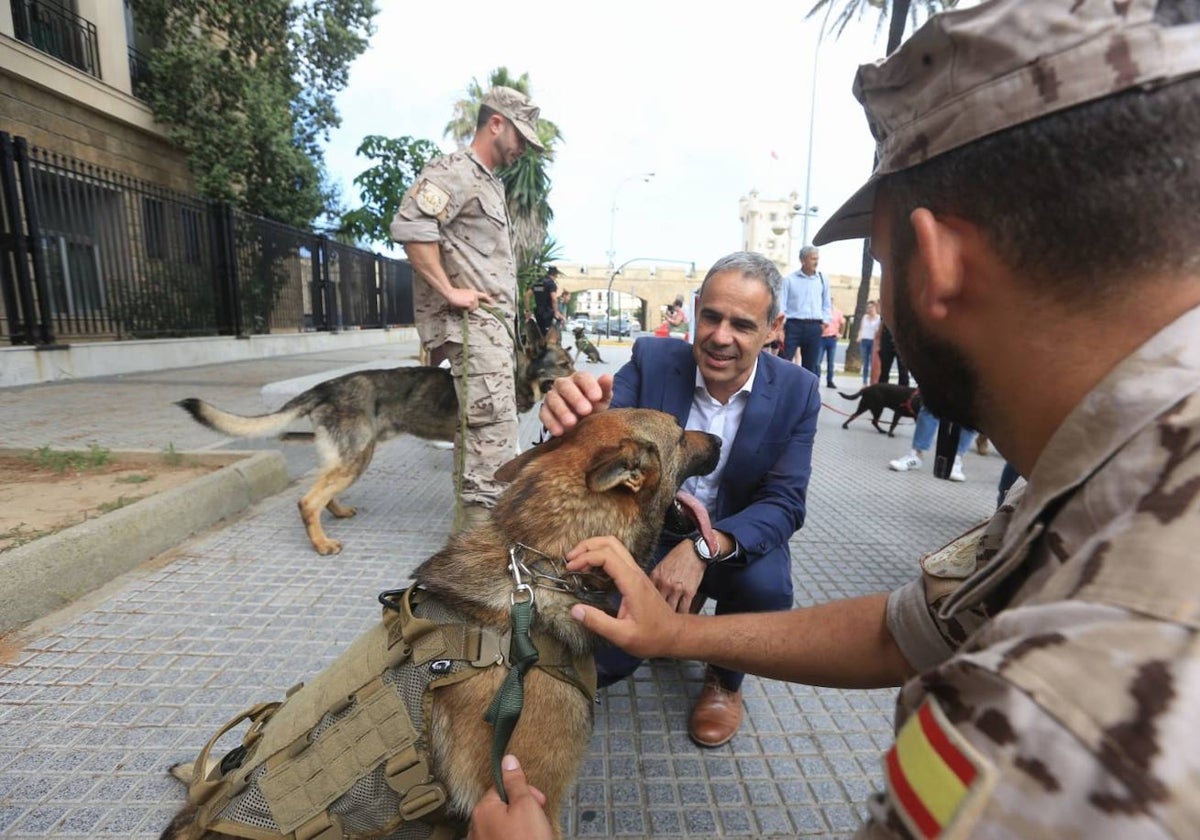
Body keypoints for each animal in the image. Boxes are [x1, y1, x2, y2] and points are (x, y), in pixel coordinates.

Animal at [175, 333, 573, 556]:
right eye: (565, 365)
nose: (583, 375)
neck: (515, 375)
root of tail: (326, 387)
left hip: (347, 455)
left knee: (321, 489)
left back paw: (336, 512)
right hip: (356, 457)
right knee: (307, 501)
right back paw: (322, 544)